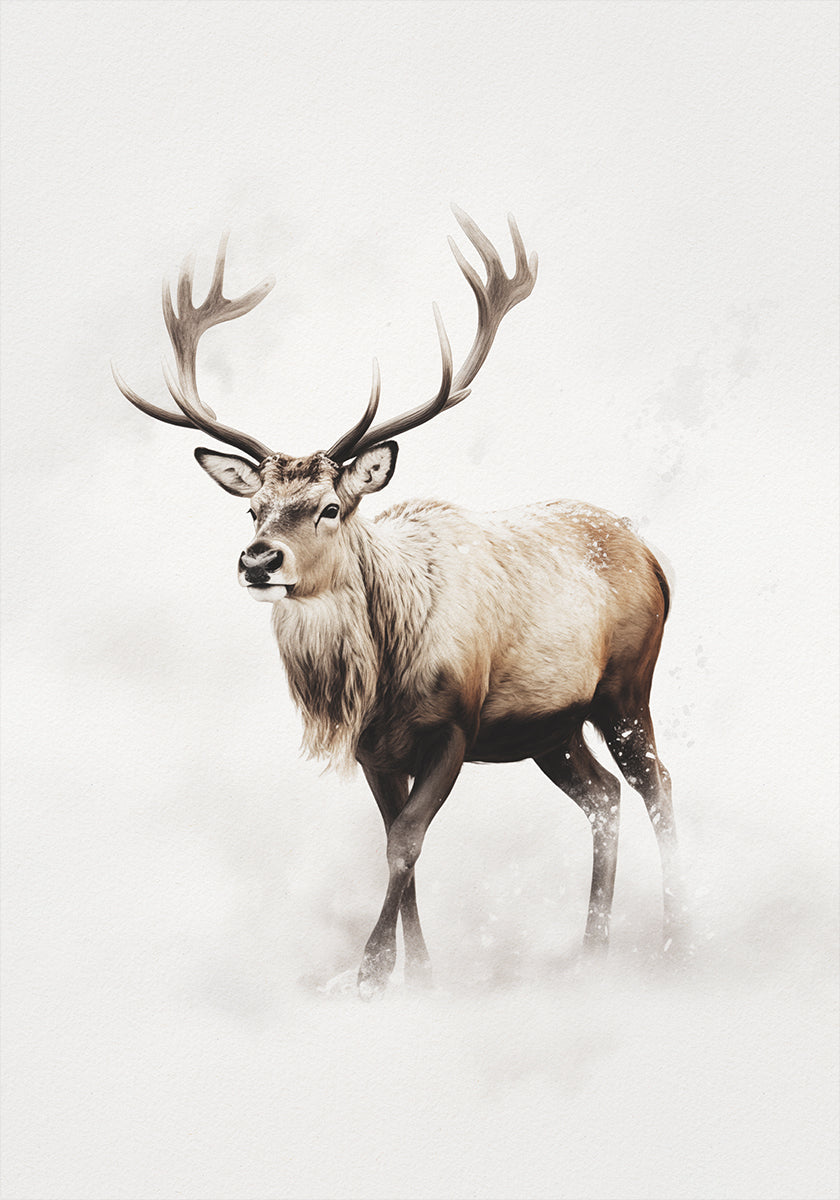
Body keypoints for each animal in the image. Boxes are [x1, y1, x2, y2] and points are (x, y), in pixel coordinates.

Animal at [112, 208, 684, 998]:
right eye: (254, 508)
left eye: (329, 508)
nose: (258, 560)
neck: (381, 676)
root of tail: (653, 556)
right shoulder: (374, 748)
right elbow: (395, 842)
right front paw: (420, 975)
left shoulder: (456, 726)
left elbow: (405, 842)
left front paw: (370, 975)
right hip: (550, 728)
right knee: (603, 795)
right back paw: (592, 949)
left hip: (627, 686)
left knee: (659, 785)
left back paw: (675, 939)